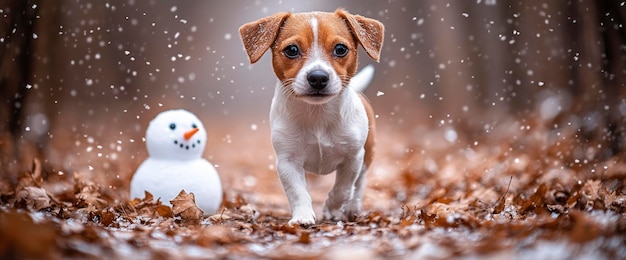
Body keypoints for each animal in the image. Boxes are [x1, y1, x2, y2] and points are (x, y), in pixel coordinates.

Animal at [239, 8, 382, 223]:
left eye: (340, 49)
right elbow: (297, 191)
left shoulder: (353, 157)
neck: (317, 115)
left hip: (368, 154)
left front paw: (332, 207)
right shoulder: (287, 161)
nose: (318, 77)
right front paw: (303, 217)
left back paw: (352, 208)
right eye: (291, 50)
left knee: (359, 185)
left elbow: (344, 188)